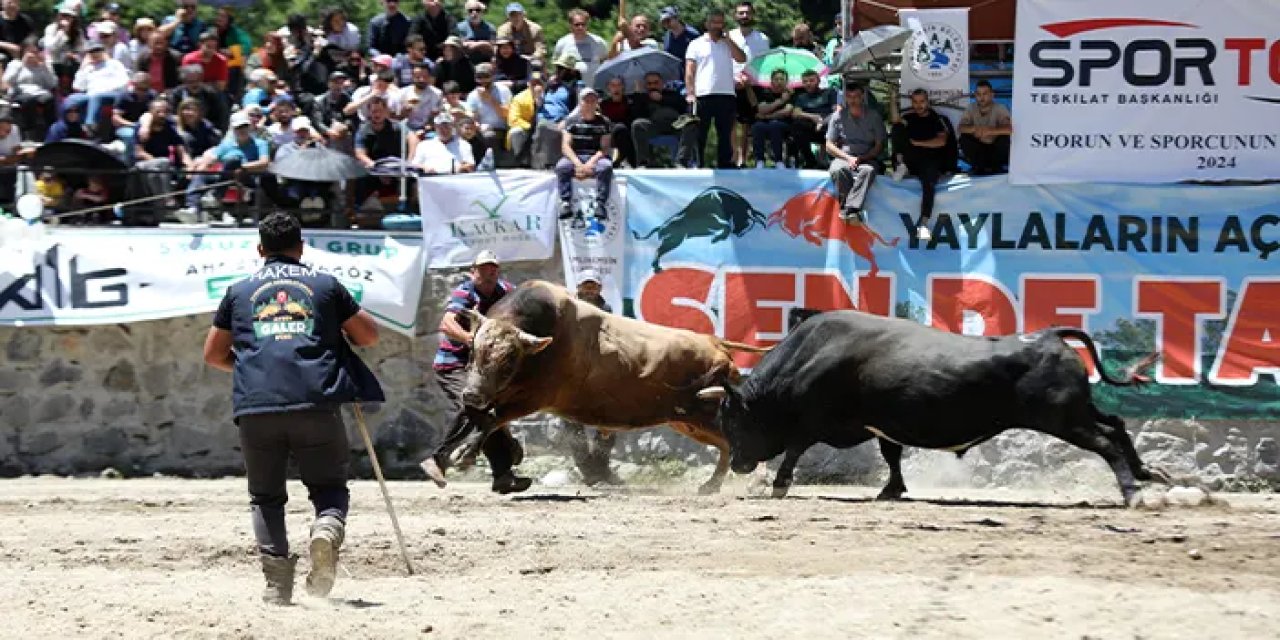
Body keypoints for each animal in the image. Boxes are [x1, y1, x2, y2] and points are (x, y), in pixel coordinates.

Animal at [453, 280, 768, 494]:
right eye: (472, 350)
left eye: (509, 359)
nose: (471, 394)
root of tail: (715, 343)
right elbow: (489, 418)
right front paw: (509, 451)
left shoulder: (533, 398)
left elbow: (492, 418)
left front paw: (463, 455)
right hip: (687, 420)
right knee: (726, 445)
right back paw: (713, 484)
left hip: (705, 413)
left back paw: (757, 482)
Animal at [701, 311, 1172, 504]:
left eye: (732, 418)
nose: (738, 464)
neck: (809, 356)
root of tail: (1047, 335)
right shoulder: (878, 424)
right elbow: (891, 455)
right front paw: (891, 490)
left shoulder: (815, 421)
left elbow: (797, 447)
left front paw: (780, 485)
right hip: (1076, 411)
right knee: (1116, 425)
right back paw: (1150, 474)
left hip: (1062, 419)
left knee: (1106, 439)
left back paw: (1134, 493)